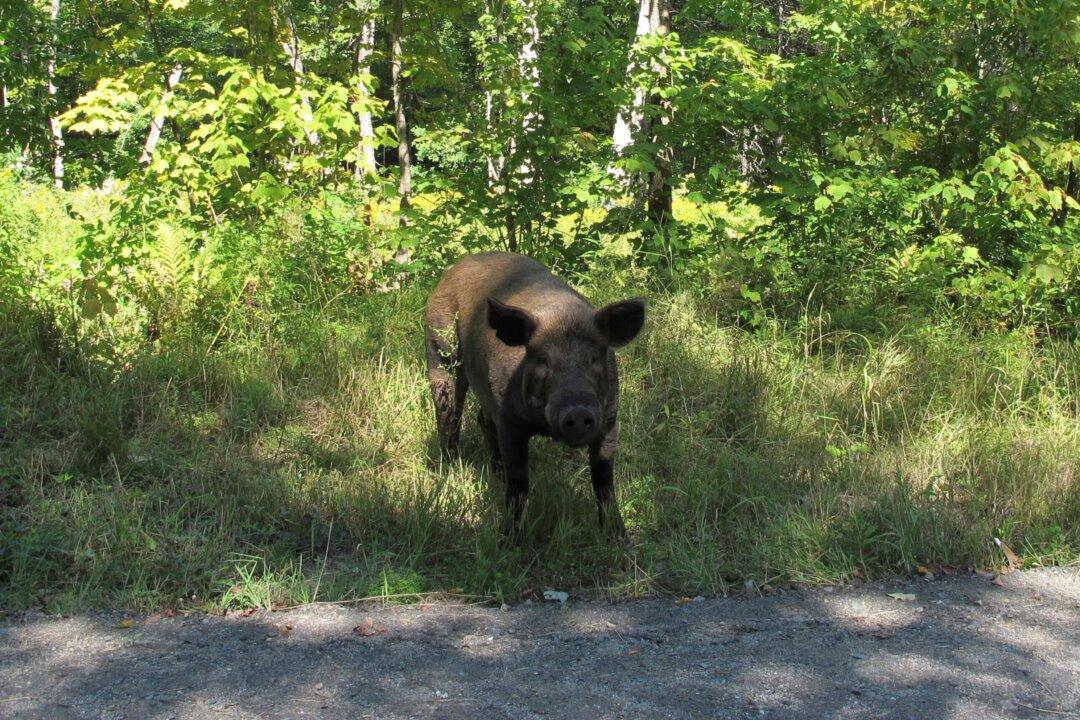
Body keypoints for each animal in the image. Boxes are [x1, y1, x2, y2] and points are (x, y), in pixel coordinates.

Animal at [423, 252, 645, 536]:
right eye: (543, 360)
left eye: (595, 358)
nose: (578, 411)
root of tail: (453, 268)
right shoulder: (510, 422)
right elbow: (519, 483)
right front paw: (509, 538)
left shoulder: (609, 420)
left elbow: (604, 481)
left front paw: (618, 537)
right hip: (440, 348)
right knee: (448, 413)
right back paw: (450, 469)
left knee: (483, 420)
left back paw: (496, 475)